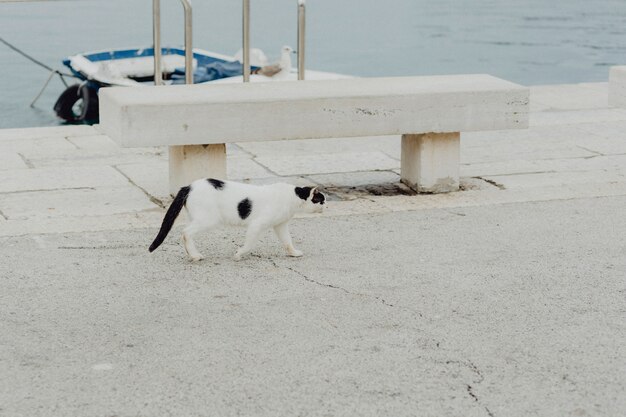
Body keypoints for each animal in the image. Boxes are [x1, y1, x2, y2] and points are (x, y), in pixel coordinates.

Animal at [146, 178, 322, 260]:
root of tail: (189, 186)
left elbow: (287, 241)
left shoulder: (280, 225)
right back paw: (195, 255)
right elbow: (249, 244)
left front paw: (293, 253)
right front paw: (239, 254)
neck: (293, 197)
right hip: (208, 219)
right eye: (322, 200)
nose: (326, 205)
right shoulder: (257, 225)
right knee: (185, 232)